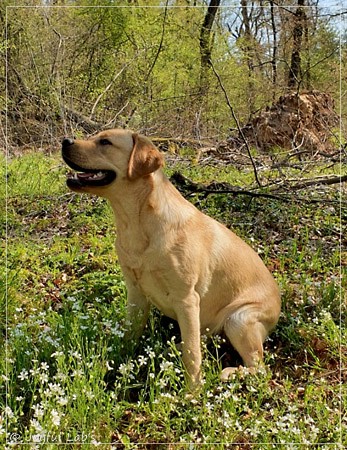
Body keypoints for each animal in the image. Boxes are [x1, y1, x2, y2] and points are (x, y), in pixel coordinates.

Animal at [61, 128, 280, 388]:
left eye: (105, 142)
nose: (65, 141)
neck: (136, 223)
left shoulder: (187, 299)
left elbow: (192, 356)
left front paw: (192, 391)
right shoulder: (135, 292)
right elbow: (130, 335)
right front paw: (121, 365)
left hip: (238, 319)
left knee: (259, 368)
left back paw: (228, 372)